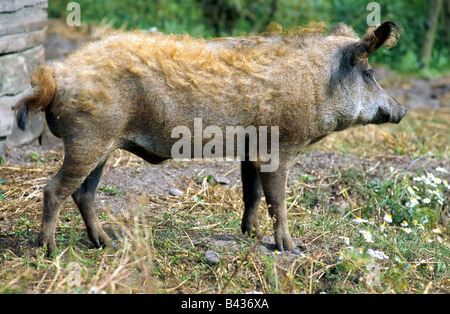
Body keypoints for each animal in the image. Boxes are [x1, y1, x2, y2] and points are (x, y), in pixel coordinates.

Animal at [14, 20, 408, 255]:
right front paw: (290, 248)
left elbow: (251, 194)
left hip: (102, 146)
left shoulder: (251, 150)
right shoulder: (278, 148)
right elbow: (277, 199)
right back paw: (49, 249)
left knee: (83, 194)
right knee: (54, 189)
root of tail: (57, 73)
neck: (317, 86)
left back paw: (106, 244)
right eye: (369, 73)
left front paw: (250, 235)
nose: (402, 109)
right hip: (88, 140)